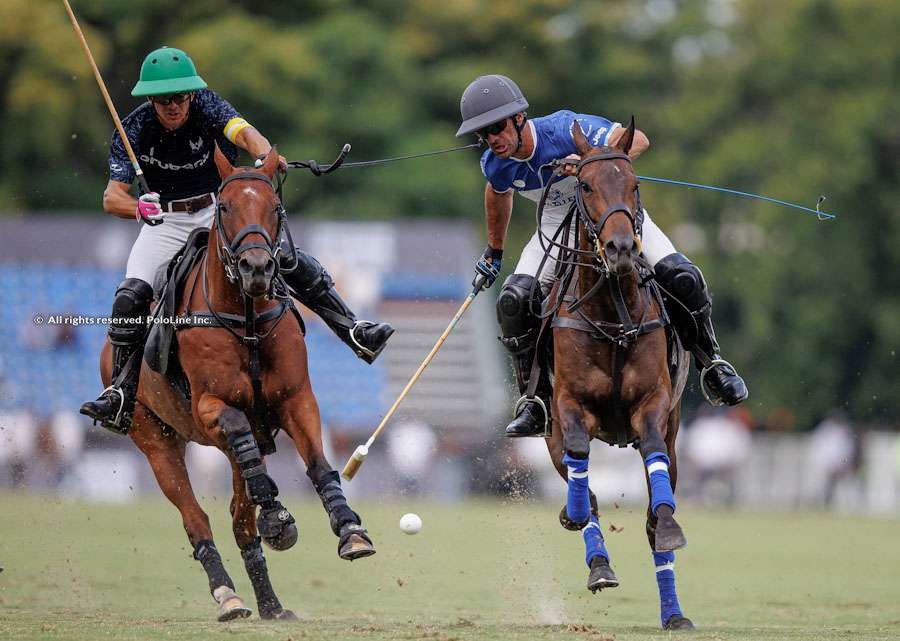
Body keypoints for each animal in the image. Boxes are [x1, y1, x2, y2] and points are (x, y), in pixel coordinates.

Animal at [99, 146, 376, 620]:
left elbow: (319, 464)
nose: (258, 268)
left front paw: (349, 530)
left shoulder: (296, 399)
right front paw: (276, 514)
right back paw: (229, 594)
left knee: (240, 519)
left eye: (276, 206)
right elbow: (237, 436)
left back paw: (271, 603)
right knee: (198, 517)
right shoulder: (210, 408)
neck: (245, 317)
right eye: (225, 207)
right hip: (153, 438)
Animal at [540, 120, 696, 632]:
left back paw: (674, 612)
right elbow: (579, 457)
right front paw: (575, 516)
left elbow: (653, 461)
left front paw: (669, 528)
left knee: (651, 510)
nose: (622, 249)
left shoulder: (654, 405)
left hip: (676, 435)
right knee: (581, 481)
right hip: (545, 430)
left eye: (635, 184)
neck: (612, 314)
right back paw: (598, 562)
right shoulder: (568, 406)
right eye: (585, 186)